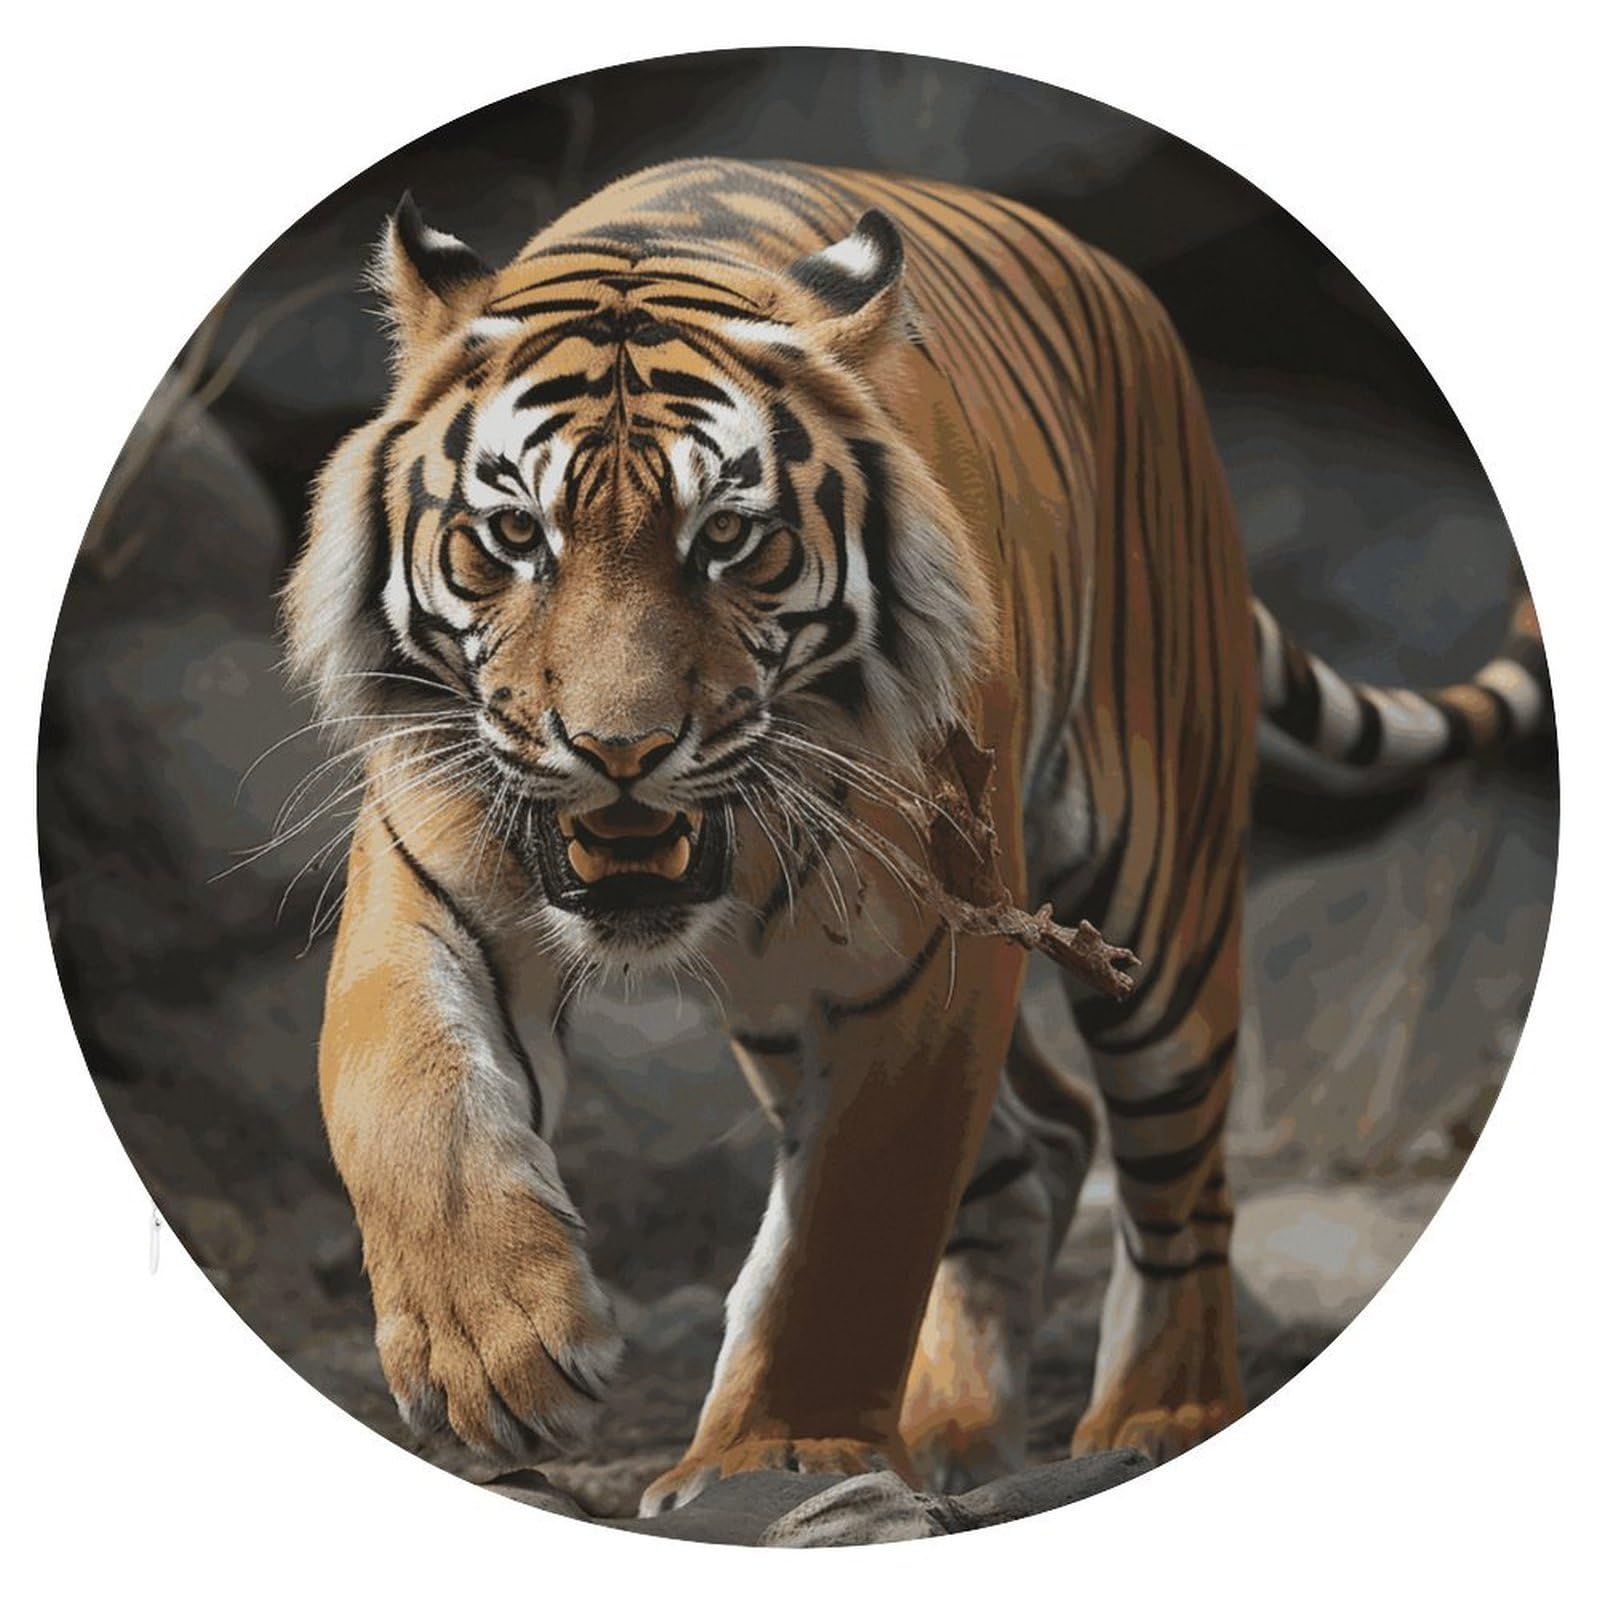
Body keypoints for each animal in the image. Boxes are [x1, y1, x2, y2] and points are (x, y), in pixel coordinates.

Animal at [283, 157, 1548, 1515]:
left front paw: (778, 1451)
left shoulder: (929, 957)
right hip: (783, 1007)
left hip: (1160, 905)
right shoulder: (427, 882)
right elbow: (401, 1097)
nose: (618, 749)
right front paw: (493, 1355)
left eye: (726, 538)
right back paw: (953, 1430)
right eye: (515, 537)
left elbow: (856, 1221)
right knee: (1039, 1141)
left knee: (1180, 1183)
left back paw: (1157, 1415)